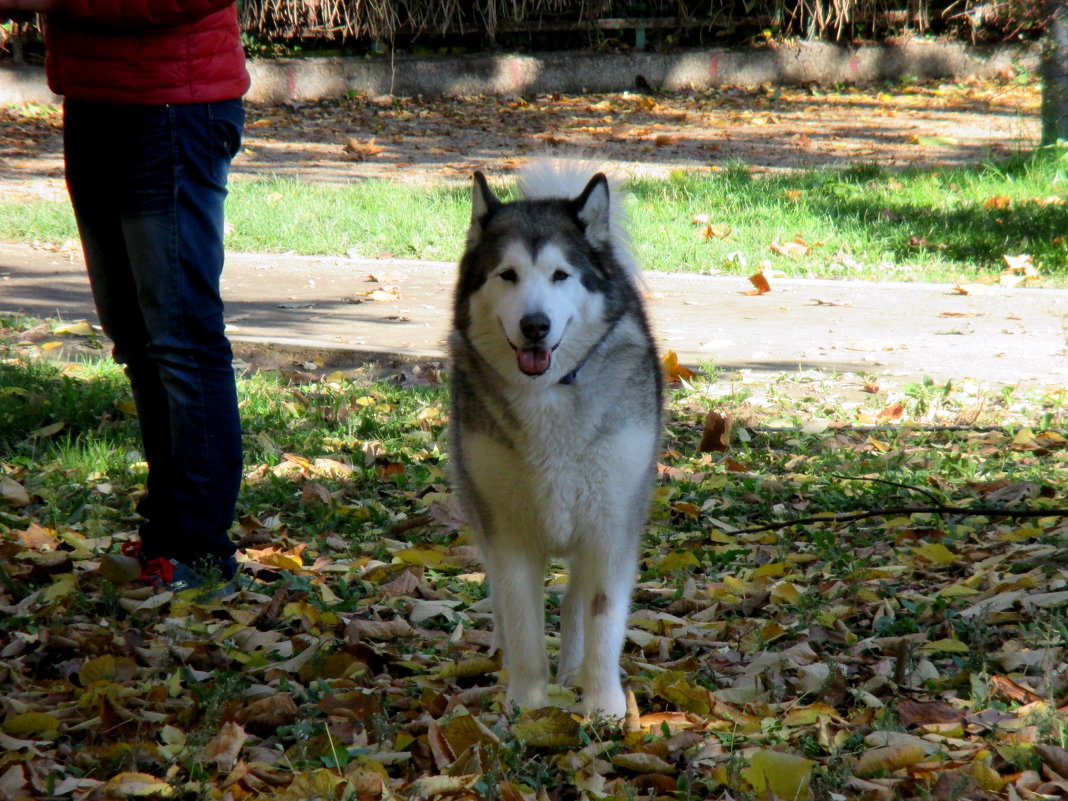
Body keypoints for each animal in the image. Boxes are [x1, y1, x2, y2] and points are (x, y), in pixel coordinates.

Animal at [446, 160, 662, 717]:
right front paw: (526, 705)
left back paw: (573, 671)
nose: (535, 326)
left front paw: (604, 706)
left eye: (561, 275)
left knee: (575, 601)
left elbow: (602, 615)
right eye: (508, 275)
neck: (548, 394)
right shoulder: (506, 531)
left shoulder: (610, 525)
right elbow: (522, 618)